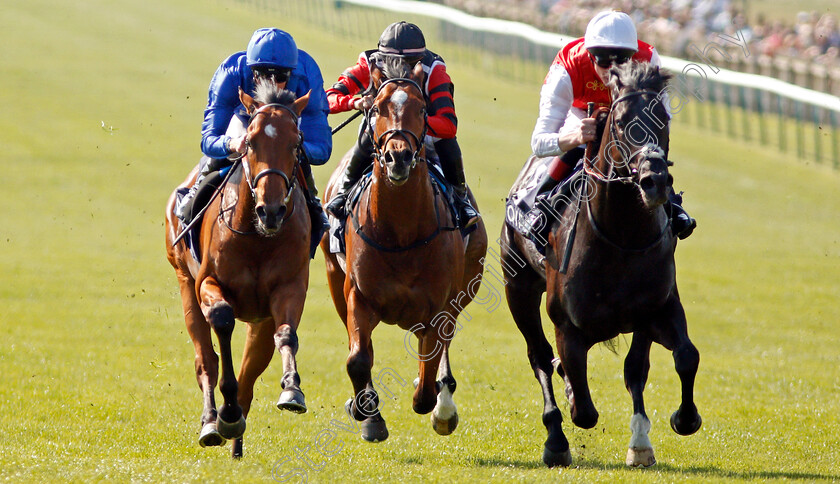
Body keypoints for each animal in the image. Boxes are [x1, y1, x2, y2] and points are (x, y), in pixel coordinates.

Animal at [164, 83, 312, 458]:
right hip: (184, 280)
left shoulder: (288, 288)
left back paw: (236, 442)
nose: (271, 210)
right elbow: (222, 319)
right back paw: (211, 423)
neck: (256, 236)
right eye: (250, 142)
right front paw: (225, 413)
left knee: (250, 372)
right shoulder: (207, 283)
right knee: (206, 360)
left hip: (259, 320)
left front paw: (292, 389)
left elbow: (286, 334)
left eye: (296, 142)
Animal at [318, 57, 488, 442]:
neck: (401, 233)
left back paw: (444, 403)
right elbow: (358, 358)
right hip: (334, 277)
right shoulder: (357, 293)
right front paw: (367, 414)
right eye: (377, 107)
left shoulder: (439, 305)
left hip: (464, 287)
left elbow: (427, 375)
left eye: (422, 108)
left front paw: (437, 405)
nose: (399, 157)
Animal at [498, 62, 704, 466]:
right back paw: (556, 439)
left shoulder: (657, 310)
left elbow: (680, 358)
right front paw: (570, 405)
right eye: (622, 122)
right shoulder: (569, 327)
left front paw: (673, 424)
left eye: (663, 118)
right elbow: (583, 407)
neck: (621, 239)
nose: (655, 180)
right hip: (518, 288)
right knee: (539, 357)